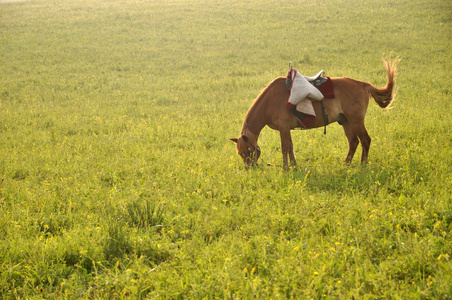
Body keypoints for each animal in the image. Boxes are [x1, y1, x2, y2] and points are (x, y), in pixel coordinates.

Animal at [231, 57, 398, 168]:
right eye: (240, 153)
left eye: (249, 150)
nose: (249, 168)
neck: (270, 101)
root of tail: (362, 84)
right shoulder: (286, 128)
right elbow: (290, 146)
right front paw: (294, 165)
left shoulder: (283, 127)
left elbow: (285, 147)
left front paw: (286, 168)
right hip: (345, 121)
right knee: (353, 141)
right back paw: (346, 163)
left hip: (356, 121)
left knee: (365, 140)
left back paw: (362, 165)